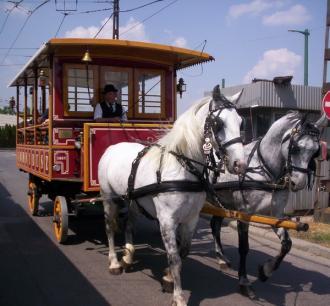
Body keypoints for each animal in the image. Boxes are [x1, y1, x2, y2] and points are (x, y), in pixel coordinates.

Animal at [98, 85, 245, 306]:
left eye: (241, 122)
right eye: (218, 124)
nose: (240, 164)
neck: (183, 168)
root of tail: (112, 147)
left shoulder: (191, 218)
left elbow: (183, 251)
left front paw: (167, 277)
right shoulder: (167, 220)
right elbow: (174, 257)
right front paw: (178, 296)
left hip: (133, 201)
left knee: (129, 225)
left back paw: (128, 256)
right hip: (108, 198)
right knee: (109, 227)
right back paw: (114, 262)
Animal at [209, 110, 324, 298]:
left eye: (315, 151)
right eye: (296, 148)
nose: (298, 183)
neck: (264, 169)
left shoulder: (275, 215)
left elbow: (287, 244)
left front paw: (265, 271)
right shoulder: (244, 214)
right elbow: (244, 248)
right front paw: (244, 282)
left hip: (221, 202)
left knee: (215, 225)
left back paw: (221, 257)